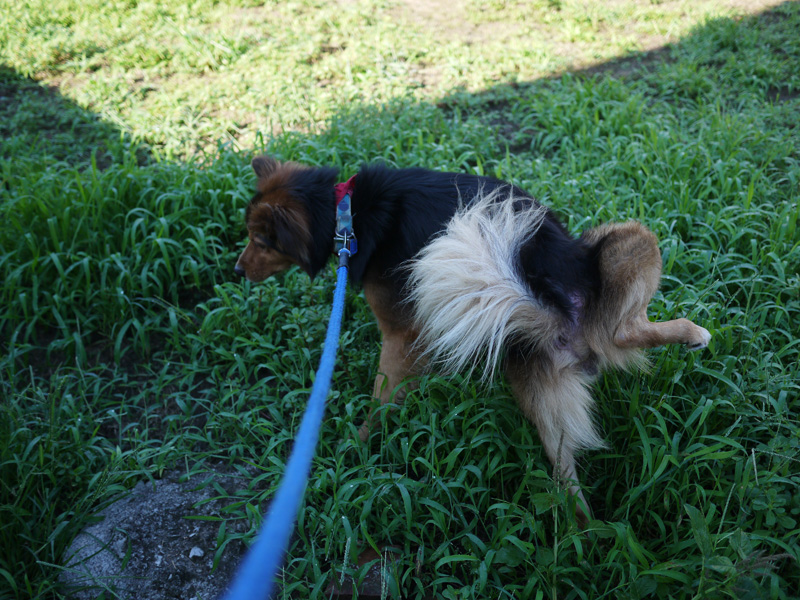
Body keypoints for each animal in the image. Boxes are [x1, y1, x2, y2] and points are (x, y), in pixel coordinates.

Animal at [235, 155, 711, 519]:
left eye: (261, 240)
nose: (236, 271)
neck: (345, 211)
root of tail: (554, 311)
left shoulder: (400, 334)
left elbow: (382, 395)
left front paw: (358, 444)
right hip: (543, 372)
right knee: (567, 469)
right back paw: (583, 531)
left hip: (623, 242)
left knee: (624, 330)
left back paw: (692, 332)